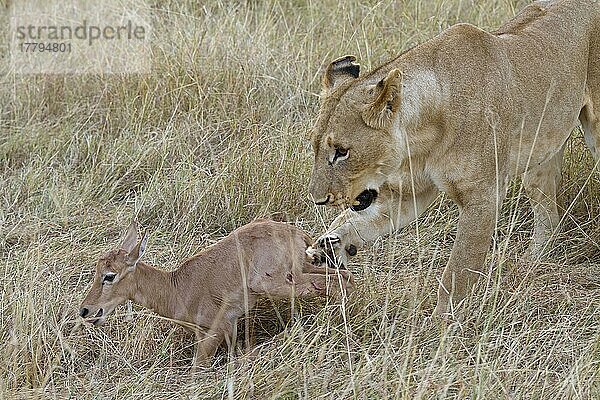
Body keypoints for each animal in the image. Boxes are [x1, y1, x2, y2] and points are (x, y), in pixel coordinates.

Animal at [78, 220, 352, 368]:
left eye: (109, 275)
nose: (85, 311)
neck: (177, 287)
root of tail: (295, 232)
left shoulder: (219, 328)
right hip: (304, 268)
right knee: (345, 276)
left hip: (277, 284)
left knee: (334, 283)